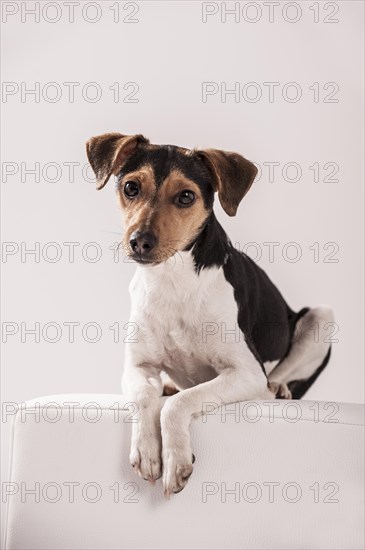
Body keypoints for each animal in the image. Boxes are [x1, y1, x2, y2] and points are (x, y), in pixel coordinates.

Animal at [86, 134, 332, 500]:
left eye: (186, 196)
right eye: (131, 187)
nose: (140, 241)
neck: (172, 280)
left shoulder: (245, 372)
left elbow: (179, 403)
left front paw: (175, 458)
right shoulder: (138, 366)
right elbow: (145, 398)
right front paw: (147, 451)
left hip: (321, 317)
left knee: (280, 375)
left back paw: (278, 388)